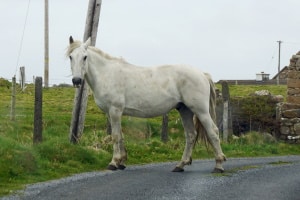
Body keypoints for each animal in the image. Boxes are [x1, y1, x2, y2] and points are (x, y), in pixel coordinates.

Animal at [67, 36, 226, 172]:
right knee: (191, 135)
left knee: (213, 132)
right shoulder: (112, 113)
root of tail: (202, 74)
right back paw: (180, 165)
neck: (107, 73)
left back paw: (218, 165)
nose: (76, 81)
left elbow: (116, 136)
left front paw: (114, 162)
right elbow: (121, 135)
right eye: (70, 57)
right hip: (185, 110)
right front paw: (122, 162)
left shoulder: (115, 111)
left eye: (85, 57)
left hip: (200, 111)